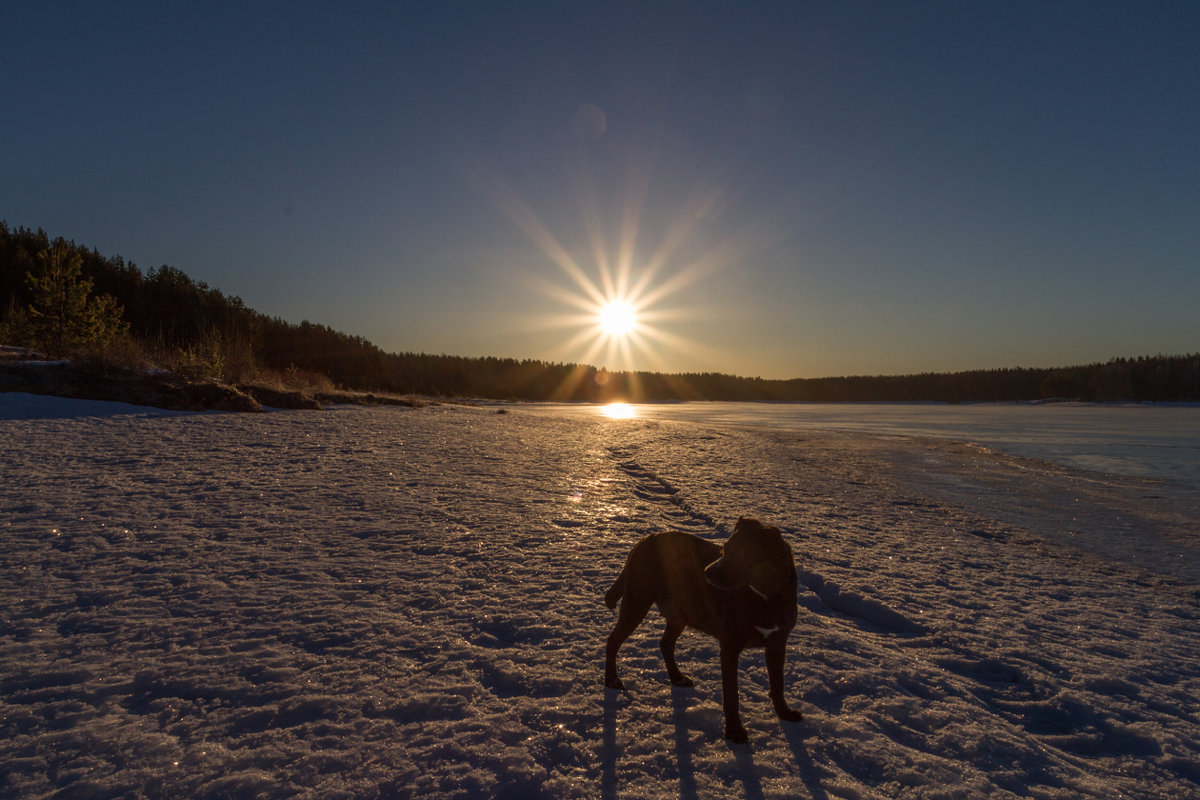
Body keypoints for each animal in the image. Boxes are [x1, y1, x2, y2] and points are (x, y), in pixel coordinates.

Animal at [604, 520, 801, 743]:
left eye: (743, 553)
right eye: (725, 548)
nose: (707, 572)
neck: (766, 597)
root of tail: (647, 538)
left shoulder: (778, 643)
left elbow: (778, 684)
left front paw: (784, 713)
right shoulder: (730, 647)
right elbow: (731, 695)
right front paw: (734, 732)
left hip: (680, 615)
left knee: (665, 644)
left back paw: (676, 677)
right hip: (637, 602)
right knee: (613, 640)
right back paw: (611, 679)